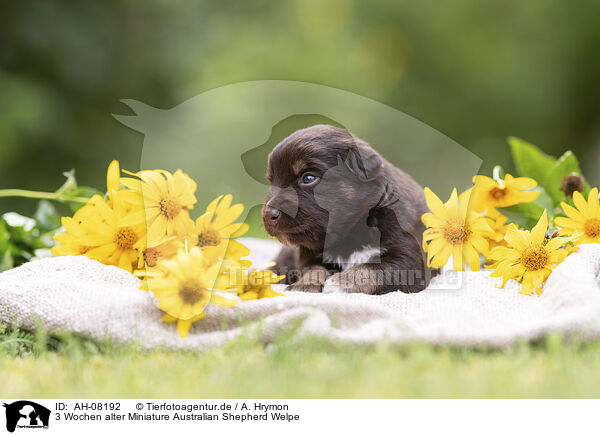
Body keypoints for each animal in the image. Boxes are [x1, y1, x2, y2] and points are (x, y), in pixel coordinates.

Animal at [262, 124, 432, 294]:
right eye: (272, 181)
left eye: (308, 178)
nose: (268, 215)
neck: (350, 232)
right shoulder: (308, 255)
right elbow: (313, 269)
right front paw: (304, 285)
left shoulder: (408, 257)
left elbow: (372, 268)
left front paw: (338, 282)